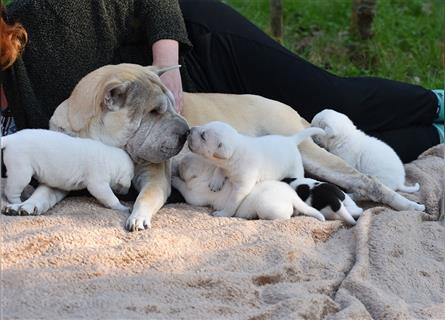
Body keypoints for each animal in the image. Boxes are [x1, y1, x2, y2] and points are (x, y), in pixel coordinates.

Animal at [1, 129, 134, 214]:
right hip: (21, 169)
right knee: (11, 190)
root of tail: (11, 138)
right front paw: (121, 207)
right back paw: (18, 202)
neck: (110, 160)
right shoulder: (98, 180)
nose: (127, 192)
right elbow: (107, 195)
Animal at [172, 154, 324, 221]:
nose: (178, 164)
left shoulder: (196, 195)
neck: (208, 171)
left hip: (266, 206)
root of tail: (292, 195)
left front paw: (175, 179)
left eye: (182, 166)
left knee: (284, 217)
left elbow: (185, 189)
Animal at [186, 120, 324, 218]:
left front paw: (223, 213)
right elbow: (219, 169)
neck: (236, 152)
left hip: (295, 169)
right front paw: (216, 183)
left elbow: (232, 202)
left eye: (203, 136)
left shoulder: (242, 187)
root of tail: (291, 140)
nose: (189, 130)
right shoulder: (224, 165)